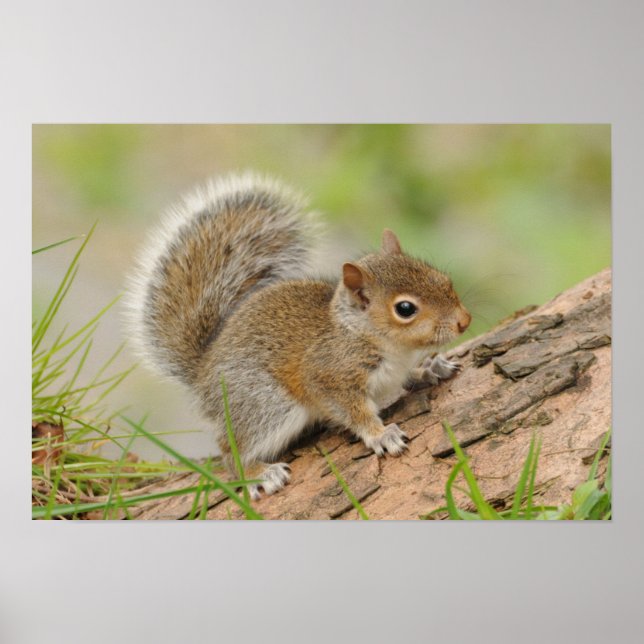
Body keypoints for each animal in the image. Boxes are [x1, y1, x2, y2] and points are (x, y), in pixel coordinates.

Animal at [126, 173, 471, 499]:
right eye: (405, 308)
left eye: (441, 278)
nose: (465, 322)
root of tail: (201, 374)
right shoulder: (329, 374)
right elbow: (353, 411)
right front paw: (380, 434)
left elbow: (410, 375)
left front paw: (431, 368)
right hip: (266, 402)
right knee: (229, 451)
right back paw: (258, 473)